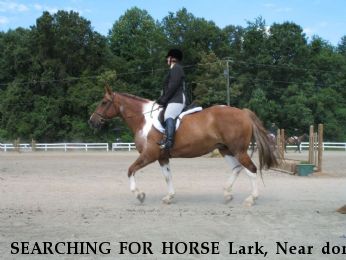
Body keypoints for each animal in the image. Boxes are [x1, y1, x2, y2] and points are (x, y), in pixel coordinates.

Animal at [89, 86, 278, 206]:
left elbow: (130, 170)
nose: (92, 121)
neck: (144, 119)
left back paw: (251, 199)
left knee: (251, 170)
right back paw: (227, 194)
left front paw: (139, 195)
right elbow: (167, 177)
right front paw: (169, 197)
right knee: (237, 169)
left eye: (104, 102)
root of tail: (243, 113)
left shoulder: (149, 155)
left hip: (238, 150)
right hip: (226, 149)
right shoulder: (162, 157)